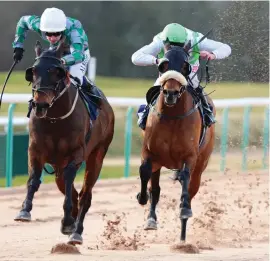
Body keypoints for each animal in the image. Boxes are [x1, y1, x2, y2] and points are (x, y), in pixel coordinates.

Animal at [14, 38, 115, 244]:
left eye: (56, 72)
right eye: (33, 71)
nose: (40, 104)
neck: (55, 120)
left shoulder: (75, 155)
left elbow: (70, 185)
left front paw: (69, 221)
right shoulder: (35, 150)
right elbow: (33, 180)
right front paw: (24, 210)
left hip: (97, 155)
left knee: (85, 194)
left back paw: (77, 231)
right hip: (57, 166)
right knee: (72, 190)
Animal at [137, 45, 215, 242]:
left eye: (185, 66)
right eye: (163, 65)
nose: (170, 93)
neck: (172, 116)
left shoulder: (190, 156)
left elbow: (185, 180)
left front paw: (184, 211)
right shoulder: (150, 152)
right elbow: (145, 173)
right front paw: (142, 197)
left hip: (201, 163)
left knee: (190, 191)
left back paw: (183, 234)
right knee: (156, 189)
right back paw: (151, 219)